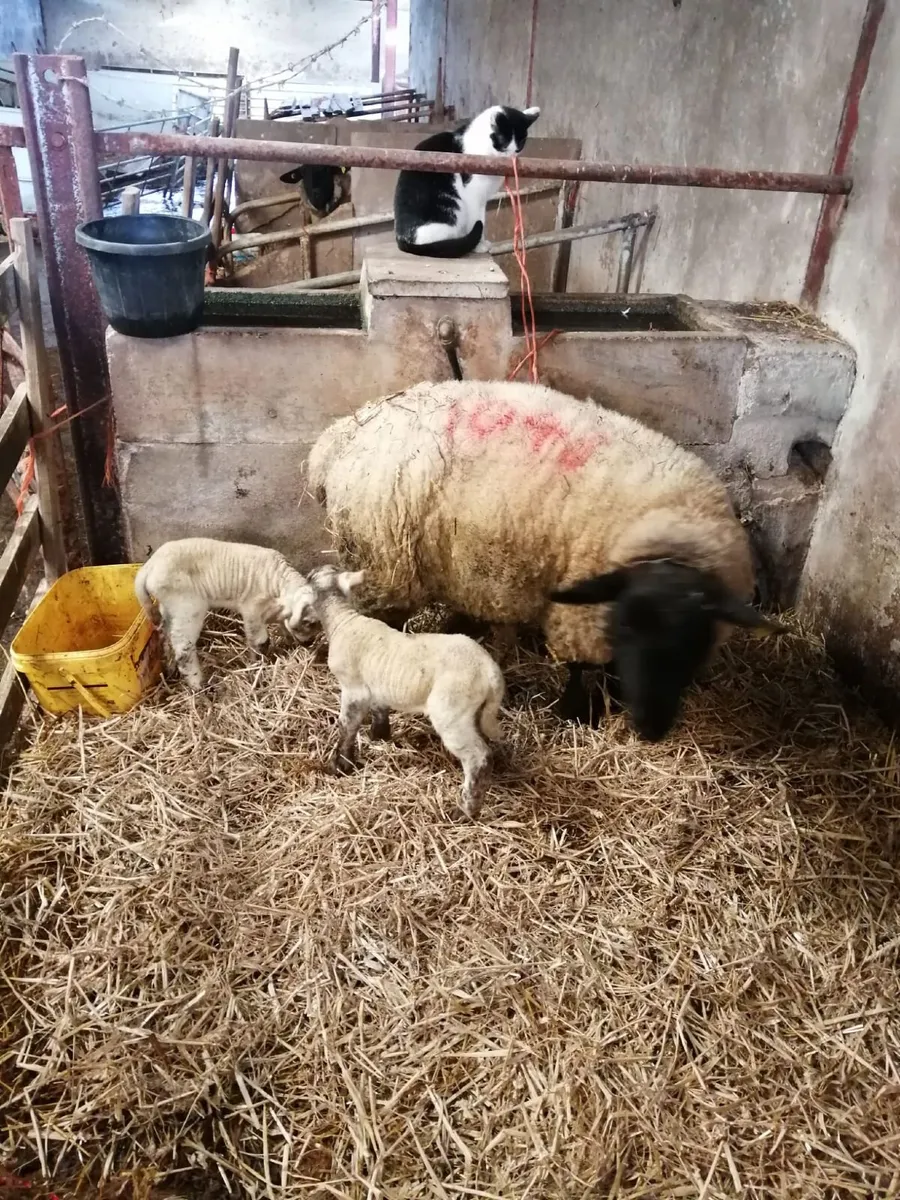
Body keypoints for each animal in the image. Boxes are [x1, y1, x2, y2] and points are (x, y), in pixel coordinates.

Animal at [135, 537, 317, 690]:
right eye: (307, 622)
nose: (309, 643)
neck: (280, 583)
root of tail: (149, 567)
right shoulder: (252, 609)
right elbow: (260, 642)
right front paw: (257, 666)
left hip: (169, 607)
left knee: (166, 634)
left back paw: (171, 667)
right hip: (187, 606)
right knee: (183, 646)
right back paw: (199, 685)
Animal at [307, 380, 784, 741]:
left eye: (694, 640)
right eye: (628, 627)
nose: (651, 729)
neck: (670, 538)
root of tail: (340, 435)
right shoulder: (583, 611)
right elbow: (581, 667)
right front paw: (575, 713)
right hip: (382, 562)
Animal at [307, 564, 505, 817]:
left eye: (310, 580)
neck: (343, 620)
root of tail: (490, 672)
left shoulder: (353, 688)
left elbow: (347, 726)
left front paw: (341, 764)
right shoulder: (376, 684)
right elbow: (379, 710)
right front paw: (379, 735)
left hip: (451, 711)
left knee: (478, 758)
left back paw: (465, 810)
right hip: (478, 711)